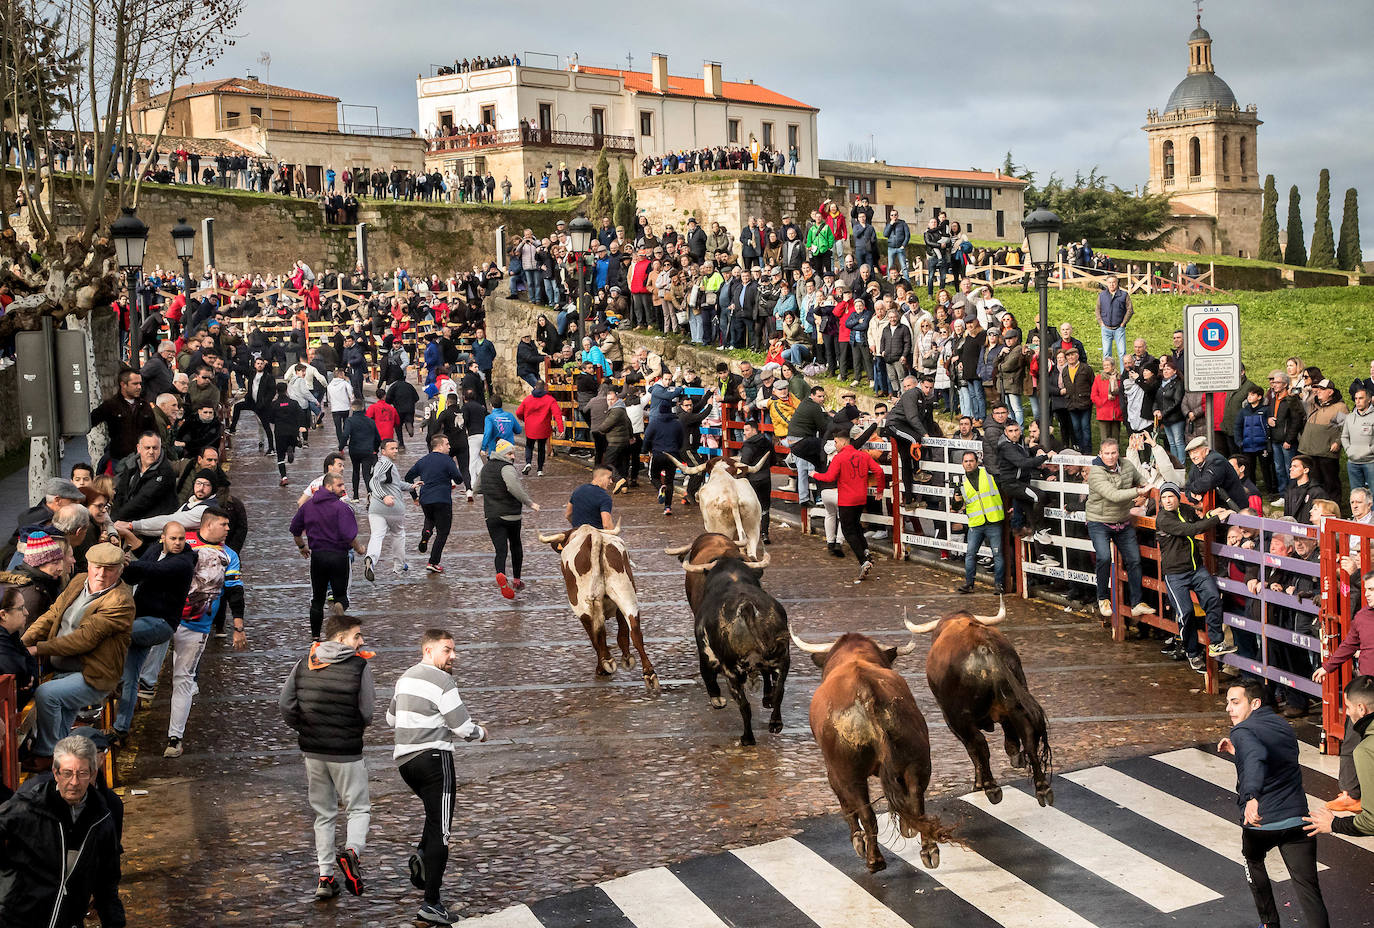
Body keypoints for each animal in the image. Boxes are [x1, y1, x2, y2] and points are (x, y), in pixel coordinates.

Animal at [538, 522, 662, 698]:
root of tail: (593, 535)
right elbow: (622, 633)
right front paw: (625, 657)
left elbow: (596, 637)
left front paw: (603, 666)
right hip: (626, 593)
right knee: (635, 632)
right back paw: (648, 674)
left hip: (583, 606)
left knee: (597, 634)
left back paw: (607, 662)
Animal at [791, 624, 950, 868]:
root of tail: (866, 694)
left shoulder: (833, 771)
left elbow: (847, 806)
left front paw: (858, 840)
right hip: (917, 761)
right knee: (916, 799)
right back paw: (928, 849)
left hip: (848, 773)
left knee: (866, 814)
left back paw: (874, 859)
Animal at [906, 602, 1055, 808]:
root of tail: (984, 647)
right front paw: (1015, 756)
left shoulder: (952, 720)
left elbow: (973, 750)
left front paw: (979, 783)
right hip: (1014, 703)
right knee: (1028, 737)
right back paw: (1042, 788)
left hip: (958, 717)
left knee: (979, 744)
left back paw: (991, 788)